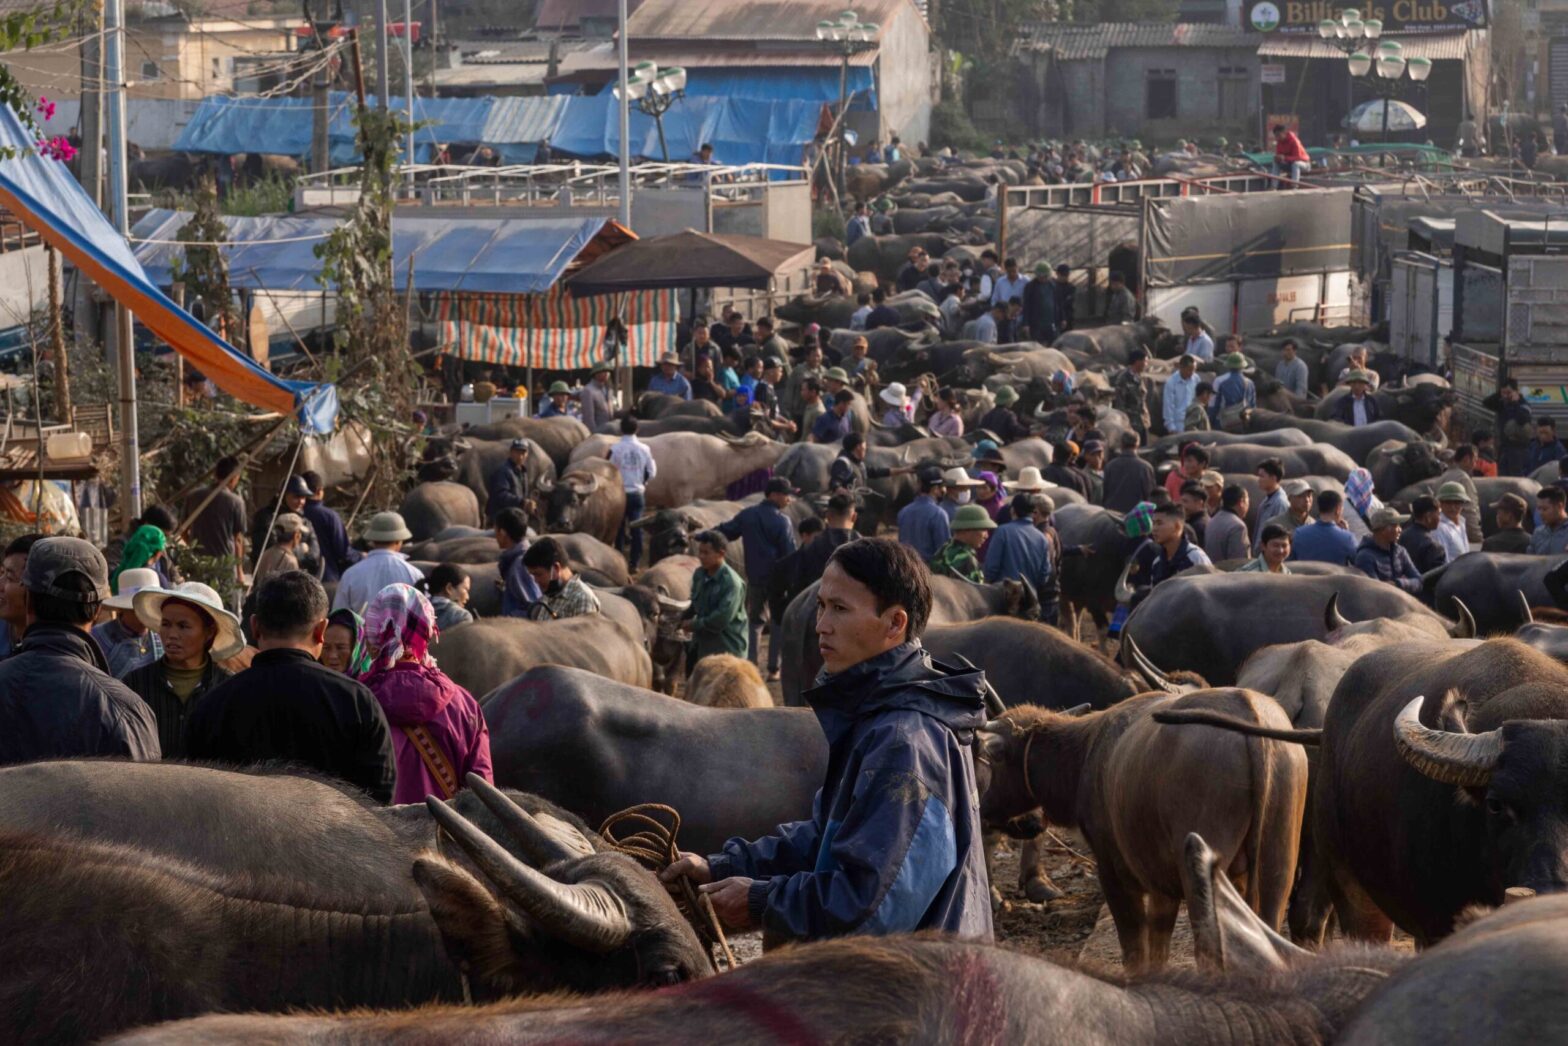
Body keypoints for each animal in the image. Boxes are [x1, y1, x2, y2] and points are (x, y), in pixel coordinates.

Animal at [978, 690, 1310, 972]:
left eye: (993, 758)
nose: (984, 806)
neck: (1086, 755)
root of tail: (1250, 715)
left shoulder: (1114, 872)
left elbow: (1134, 948)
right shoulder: (1162, 882)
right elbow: (1158, 947)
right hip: (1277, 866)